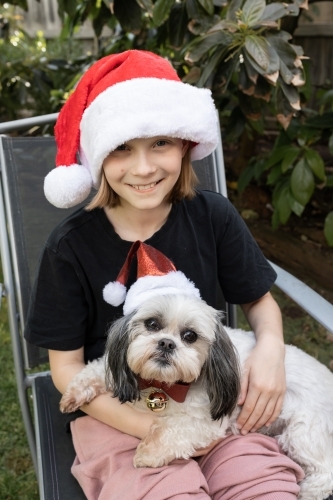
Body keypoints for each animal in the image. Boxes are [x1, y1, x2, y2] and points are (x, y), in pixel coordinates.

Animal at [59, 292, 332, 500]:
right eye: (152, 324)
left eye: (190, 336)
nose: (166, 343)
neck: (164, 385)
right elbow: (95, 370)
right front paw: (74, 393)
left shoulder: (204, 422)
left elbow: (170, 431)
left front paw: (147, 453)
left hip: (303, 433)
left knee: (325, 471)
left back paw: (305, 492)